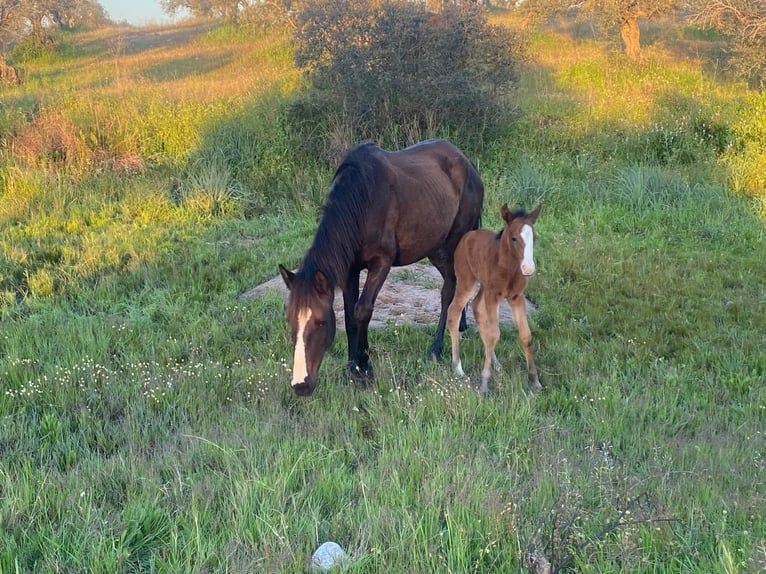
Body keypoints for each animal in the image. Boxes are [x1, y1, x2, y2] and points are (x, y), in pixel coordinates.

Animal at [280, 141, 486, 400]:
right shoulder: (350, 270)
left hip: (455, 241)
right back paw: (460, 323)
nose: (300, 385)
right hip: (434, 247)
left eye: (320, 322)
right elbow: (350, 316)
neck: (362, 200)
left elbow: (362, 311)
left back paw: (435, 350)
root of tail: (468, 164)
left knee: (448, 289)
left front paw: (364, 368)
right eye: (290, 321)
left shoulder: (381, 263)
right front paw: (352, 367)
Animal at [448, 205, 544, 398]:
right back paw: (458, 367)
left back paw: (496, 363)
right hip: (467, 281)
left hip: (484, 288)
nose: (528, 268)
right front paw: (484, 383)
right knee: (454, 312)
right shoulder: (493, 295)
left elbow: (525, 335)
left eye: (534, 237)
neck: (509, 269)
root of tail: (467, 236)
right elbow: (494, 334)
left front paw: (534, 381)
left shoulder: (516, 298)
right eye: (514, 238)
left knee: (477, 307)